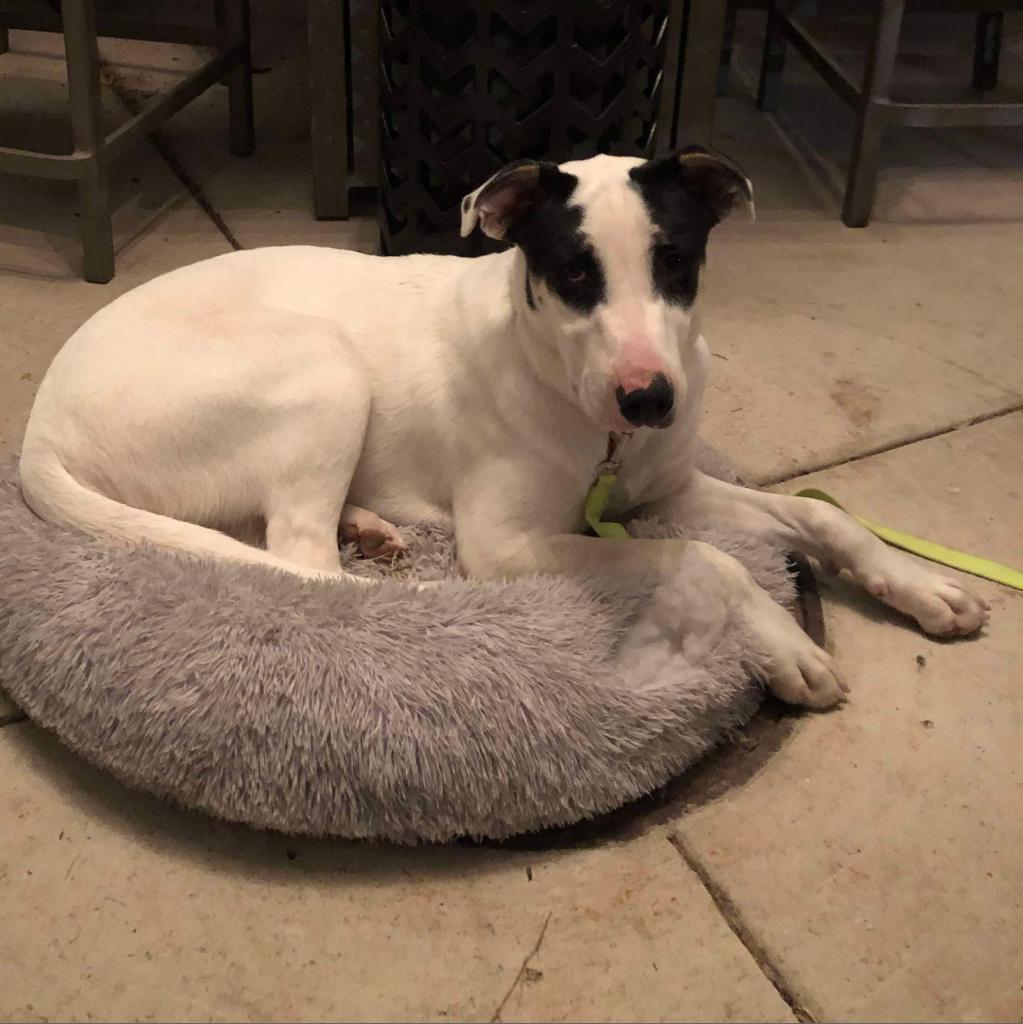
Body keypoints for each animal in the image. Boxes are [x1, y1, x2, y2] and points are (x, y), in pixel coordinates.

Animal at [18, 148, 991, 708]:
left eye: (675, 261)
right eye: (573, 272)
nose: (649, 398)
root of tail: (39, 435)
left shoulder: (666, 487)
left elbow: (817, 515)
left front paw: (920, 587)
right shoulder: (509, 542)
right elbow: (700, 560)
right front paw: (786, 645)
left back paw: (369, 525)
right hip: (322, 365)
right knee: (298, 558)